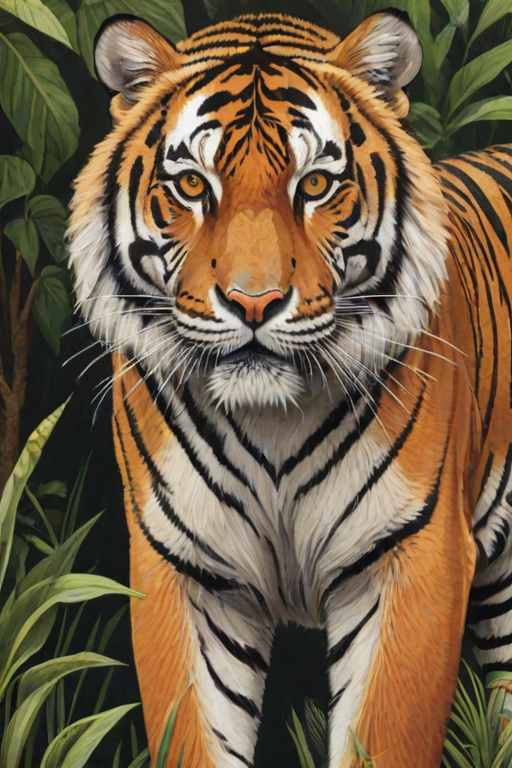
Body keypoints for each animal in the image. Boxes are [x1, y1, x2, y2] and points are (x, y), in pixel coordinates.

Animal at [67, 8, 512, 768]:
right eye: (192, 187)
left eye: (315, 186)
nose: (255, 303)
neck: (271, 420)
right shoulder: (183, 570)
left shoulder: (412, 556)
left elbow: (383, 738)